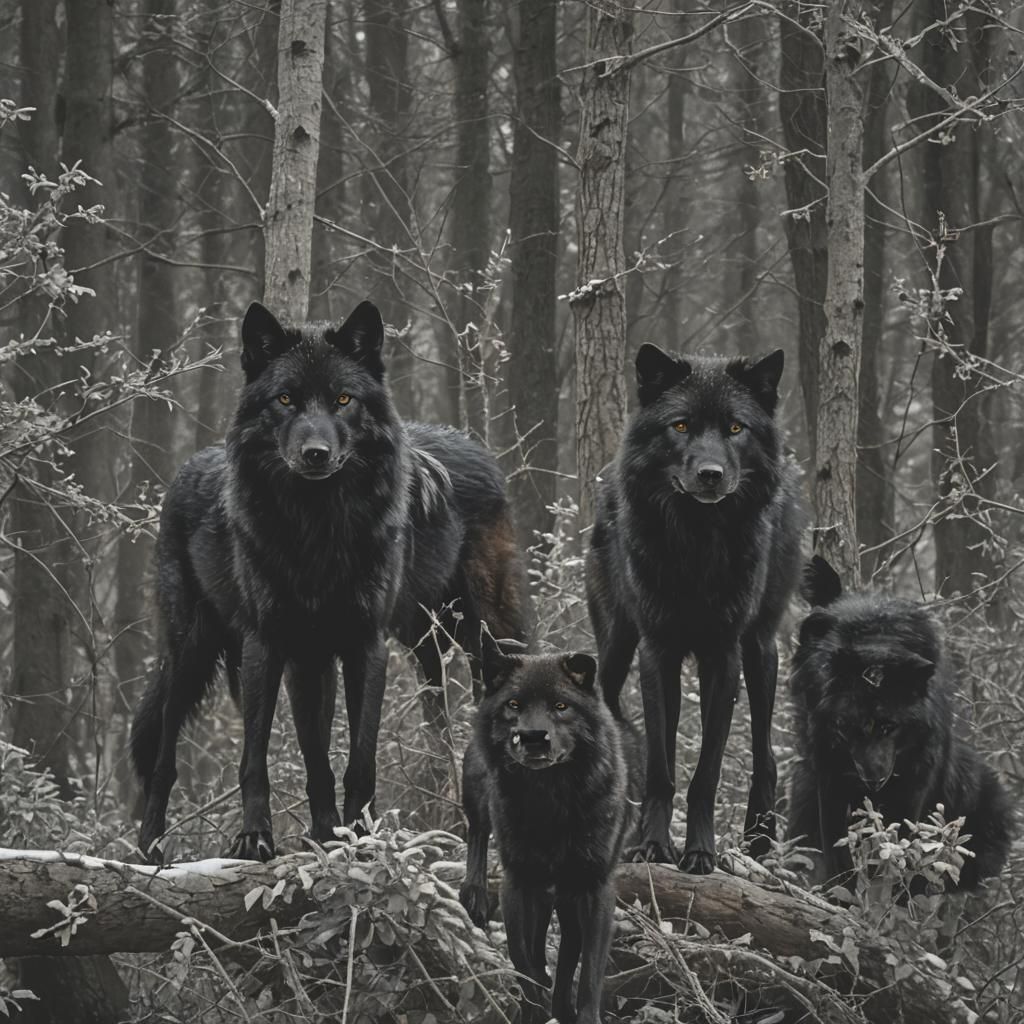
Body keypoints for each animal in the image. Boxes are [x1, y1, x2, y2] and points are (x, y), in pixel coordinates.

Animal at [131, 300, 525, 862]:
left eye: (343, 399)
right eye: (285, 399)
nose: (315, 452)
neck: (317, 529)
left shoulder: (365, 646)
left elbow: (358, 760)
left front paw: (356, 839)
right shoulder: (274, 646)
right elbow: (274, 756)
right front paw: (262, 836)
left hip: (480, 638)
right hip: (192, 651)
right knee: (164, 757)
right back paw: (149, 847)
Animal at [459, 647, 641, 1024]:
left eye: (561, 706)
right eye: (514, 704)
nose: (532, 737)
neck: (550, 798)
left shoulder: (593, 888)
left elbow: (588, 971)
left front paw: (576, 1013)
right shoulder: (519, 882)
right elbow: (522, 958)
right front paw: (534, 1007)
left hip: (562, 896)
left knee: (567, 948)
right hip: (477, 794)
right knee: (477, 833)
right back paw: (474, 894)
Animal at [586, 344, 803, 873]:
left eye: (735, 428)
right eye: (681, 425)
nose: (710, 475)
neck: (698, 545)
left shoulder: (723, 656)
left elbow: (706, 770)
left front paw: (701, 852)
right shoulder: (657, 651)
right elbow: (661, 766)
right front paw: (652, 846)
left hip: (760, 650)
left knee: (765, 754)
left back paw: (759, 843)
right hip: (616, 648)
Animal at [788, 556, 1013, 890]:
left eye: (889, 727)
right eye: (846, 726)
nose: (873, 779)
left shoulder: (913, 786)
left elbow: (898, 850)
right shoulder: (829, 779)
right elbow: (839, 855)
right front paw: (842, 896)